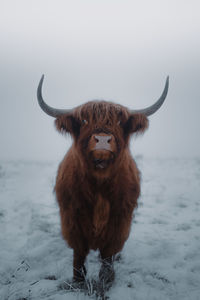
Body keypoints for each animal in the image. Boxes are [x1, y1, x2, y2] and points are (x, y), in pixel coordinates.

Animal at [36, 74, 169, 286]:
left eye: (119, 122)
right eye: (84, 120)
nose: (103, 140)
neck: (99, 181)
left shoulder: (119, 219)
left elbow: (108, 253)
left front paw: (106, 279)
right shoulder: (72, 217)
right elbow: (79, 252)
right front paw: (78, 280)